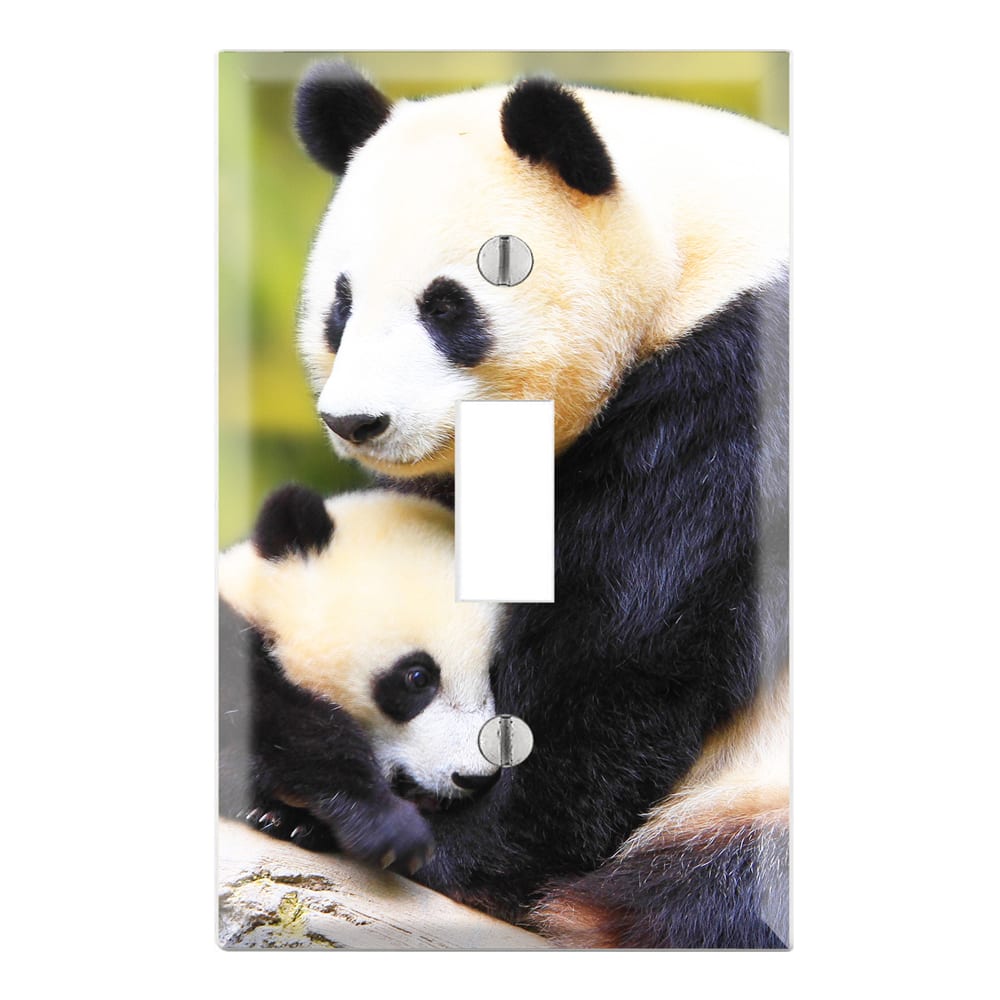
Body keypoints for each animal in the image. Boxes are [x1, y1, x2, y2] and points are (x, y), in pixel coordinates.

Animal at [291, 63, 789, 947]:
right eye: (341, 306)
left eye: (447, 306)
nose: (358, 421)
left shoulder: (739, 385)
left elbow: (628, 644)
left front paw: (452, 844)